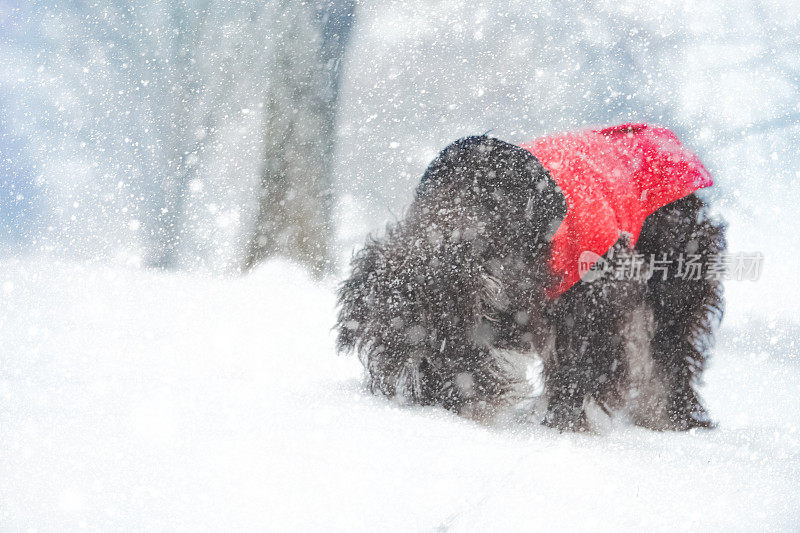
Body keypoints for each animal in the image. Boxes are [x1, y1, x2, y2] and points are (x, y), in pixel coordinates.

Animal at [334, 130, 728, 432]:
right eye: (409, 355)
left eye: (445, 345)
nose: (442, 406)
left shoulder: (595, 299)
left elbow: (584, 366)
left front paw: (567, 423)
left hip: (673, 289)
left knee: (669, 357)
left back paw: (675, 418)